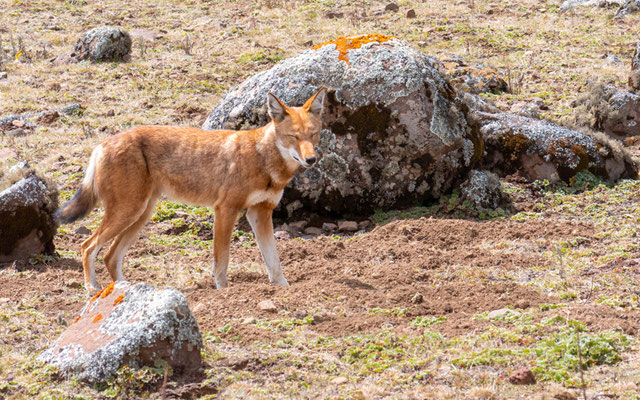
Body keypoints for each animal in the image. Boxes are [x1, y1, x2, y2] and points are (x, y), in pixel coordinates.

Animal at [55, 88, 328, 294]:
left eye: (313, 135)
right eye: (293, 137)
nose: (311, 160)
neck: (263, 159)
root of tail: (101, 144)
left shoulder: (260, 213)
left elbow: (274, 262)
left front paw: (284, 289)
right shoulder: (226, 210)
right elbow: (222, 261)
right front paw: (223, 293)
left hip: (140, 216)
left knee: (110, 256)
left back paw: (126, 292)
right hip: (128, 213)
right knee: (87, 246)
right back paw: (93, 289)